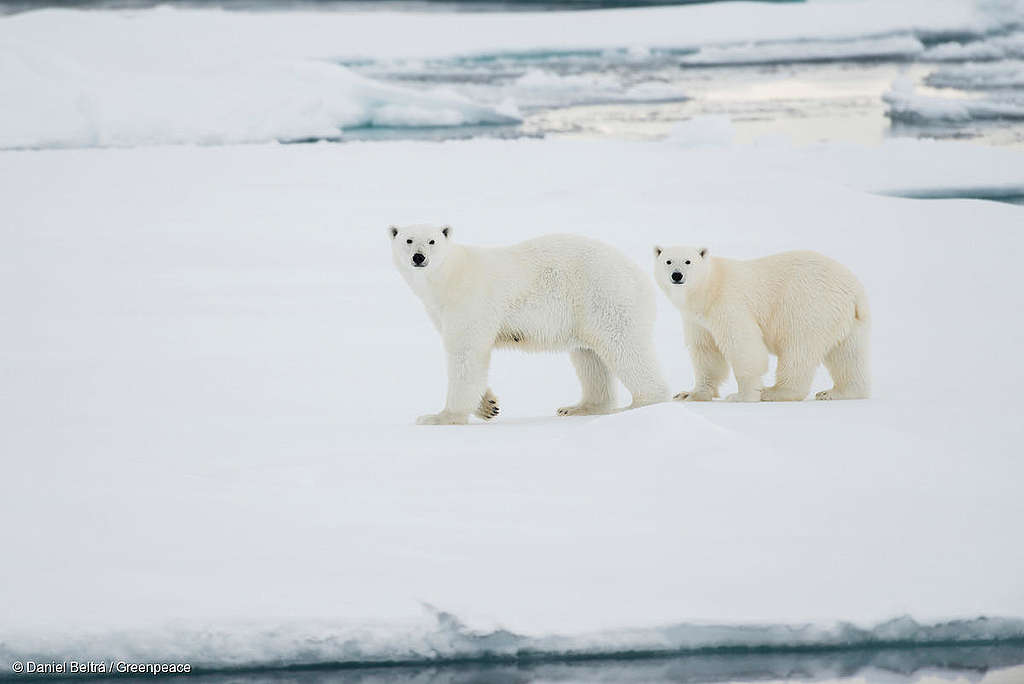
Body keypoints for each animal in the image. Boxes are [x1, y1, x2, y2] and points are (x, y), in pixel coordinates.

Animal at [389, 224, 670, 424]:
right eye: (408, 240)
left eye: (432, 241)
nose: (418, 257)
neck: (449, 277)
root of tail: (641, 277)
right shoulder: (440, 311)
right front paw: (489, 406)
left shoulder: (471, 301)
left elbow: (466, 353)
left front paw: (440, 417)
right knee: (589, 357)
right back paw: (579, 407)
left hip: (605, 296)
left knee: (624, 348)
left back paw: (642, 404)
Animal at [653, 246, 870, 402]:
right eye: (668, 261)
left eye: (688, 261)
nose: (677, 275)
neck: (708, 289)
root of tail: (855, 290)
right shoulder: (697, 319)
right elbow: (706, 352)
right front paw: (689, 394)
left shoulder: (727, 303)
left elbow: (743, 345)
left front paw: (742, 396)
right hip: (848, 320)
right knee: (847, 355)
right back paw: (837, 392)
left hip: (808, 306)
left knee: (797, 349)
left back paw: (774, 392)